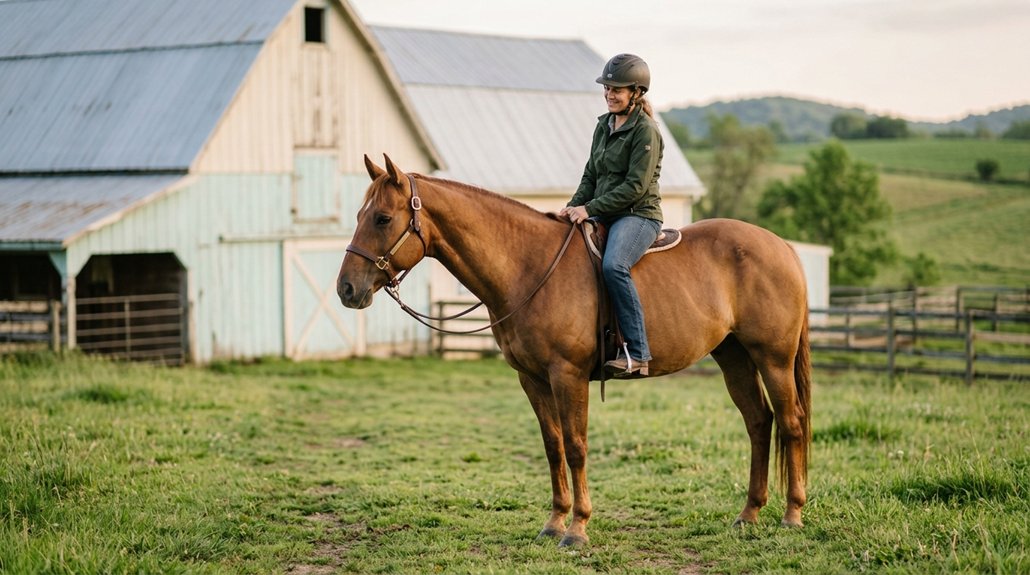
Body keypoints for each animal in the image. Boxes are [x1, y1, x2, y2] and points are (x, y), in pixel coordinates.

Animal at [337, 154, 812, 547]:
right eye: (359, 214)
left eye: (382, 218)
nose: (346, 288)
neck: (528, 266)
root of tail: (781, 246)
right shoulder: (532, 379)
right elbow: (553, 447)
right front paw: (554, 523)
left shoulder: (568, 376)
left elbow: (577, 445)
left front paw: (579, 528)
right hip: (734, 356)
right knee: (759, 422)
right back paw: (749, 514)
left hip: (773, 358)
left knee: (790, 423)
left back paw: (792, 515)